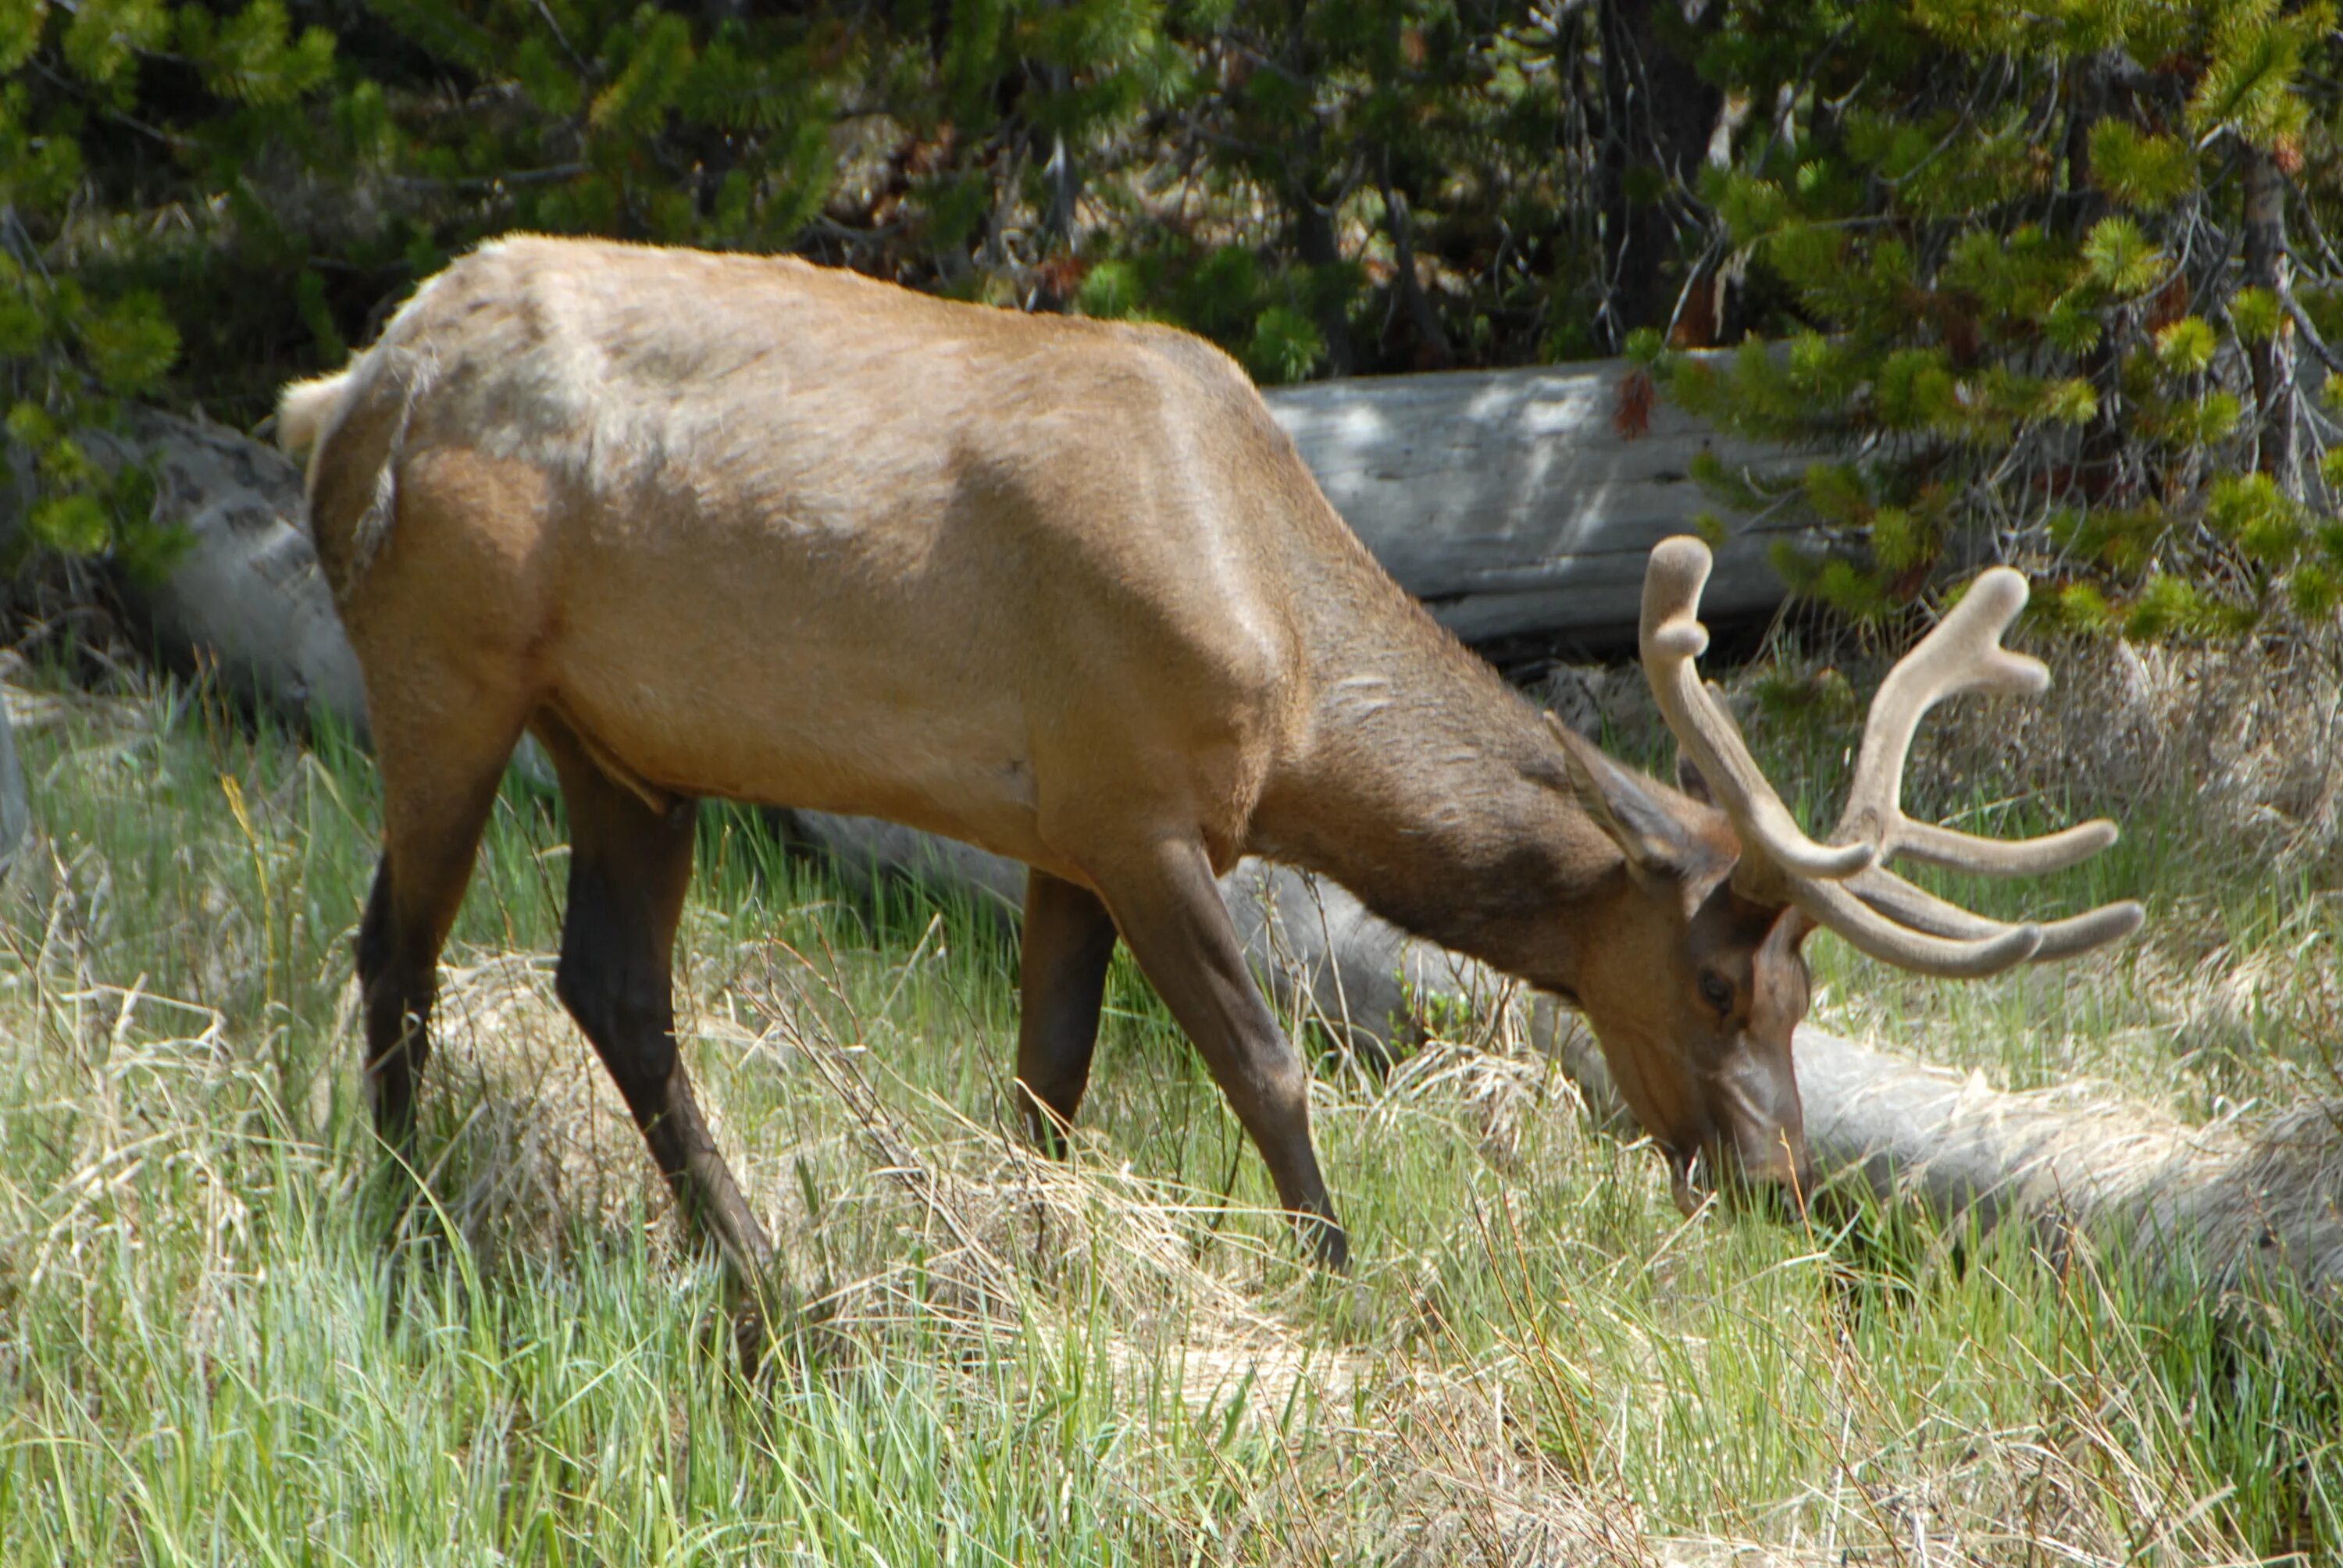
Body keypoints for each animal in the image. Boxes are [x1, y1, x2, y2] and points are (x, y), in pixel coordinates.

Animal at [279, 232, 2146, 1284]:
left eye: (1810, 996)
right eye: (1716, 981)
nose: (1778, 1179)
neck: (1294, 677)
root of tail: (343, 392)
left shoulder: (1058, 825)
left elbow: (1046, 1083)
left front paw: (1025, 1254)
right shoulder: (1140, 803)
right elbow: (1267, 1066)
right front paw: (1342, 1276)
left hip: (624, 738)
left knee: (612, 982)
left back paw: (752, 1265)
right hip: (446, 665)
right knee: (396, 944)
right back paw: (404, 1211)